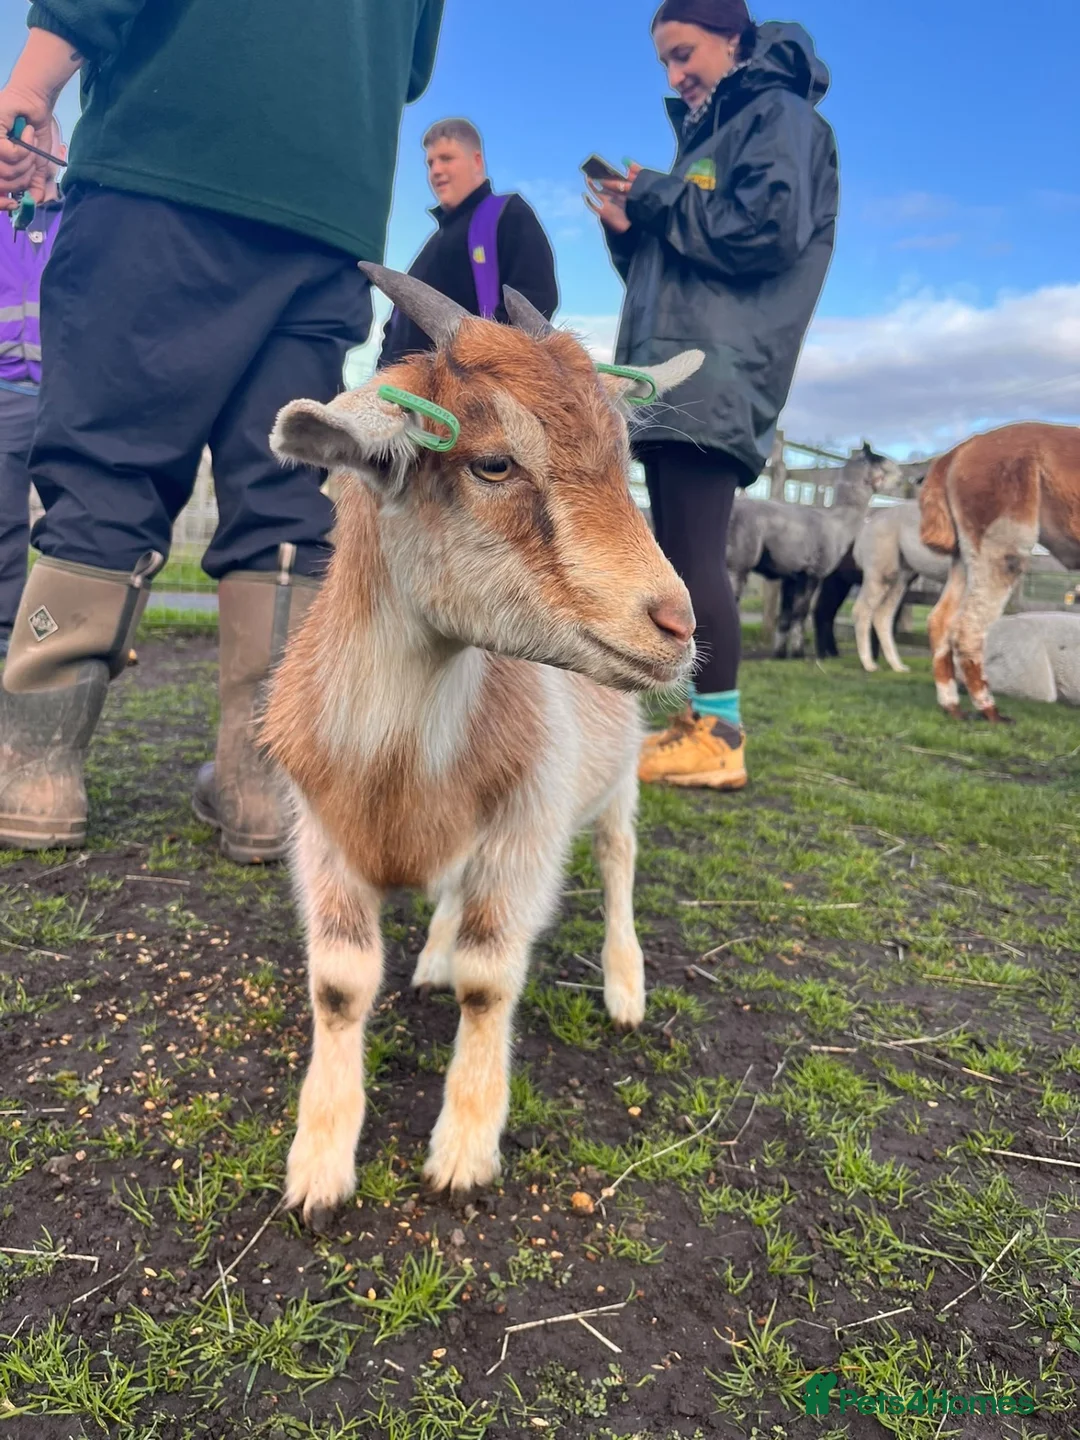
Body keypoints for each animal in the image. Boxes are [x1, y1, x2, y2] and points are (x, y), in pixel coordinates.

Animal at [261, 265, 702, 1224]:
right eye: (493, 462)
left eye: (625, 461)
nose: (677, 624)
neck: (395, 764)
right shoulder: (321, 835)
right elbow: (340, 983)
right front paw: (318, 1164)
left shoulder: (527, 831)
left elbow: (489, 979)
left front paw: (463, 1147)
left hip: (615, 779)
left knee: (618, 858)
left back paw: (624, 987)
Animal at [728, 444, 901, 658]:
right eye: (880, 459)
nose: (901, 476)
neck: (838, 523)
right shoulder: (813, 572)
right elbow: (800, 613)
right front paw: (798, 653)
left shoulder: (792, 575)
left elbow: (785, 616)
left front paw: (780, 653)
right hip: (739, 562)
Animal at [920, 422, 1080, 721]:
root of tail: (961, 449)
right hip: (1003, 532)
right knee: (968, 627)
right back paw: (989, 709)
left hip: (965, 553)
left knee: (940, 620)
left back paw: (952, 705)